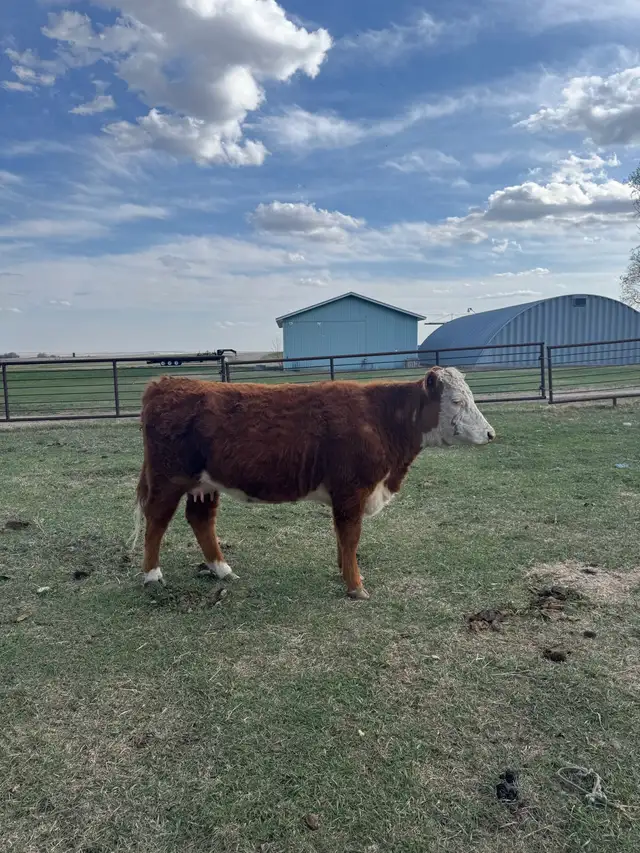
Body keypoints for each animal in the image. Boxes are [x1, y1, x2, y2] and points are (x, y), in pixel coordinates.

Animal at [132, 367, 495, 600]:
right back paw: (152, 576)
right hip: (168, 478)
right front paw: (356, 586)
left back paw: (222, 570)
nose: (490, 433)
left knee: (200, 519)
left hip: (204, 484)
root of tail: (166, 383)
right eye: (458, 401)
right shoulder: (351, 490)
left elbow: (342, 538)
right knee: (156, 521)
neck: (381, 419)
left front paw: (345, 572)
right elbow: (350, 536)